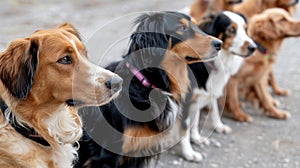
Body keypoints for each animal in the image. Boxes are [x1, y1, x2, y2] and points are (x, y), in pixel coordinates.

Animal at [177, 10, 256, 161]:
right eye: (231, 30)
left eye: (245, 28)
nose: (253, 48)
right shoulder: (186, 101)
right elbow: (185, 127)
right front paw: (189, 153)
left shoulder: (202, 95)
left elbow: (201, 117)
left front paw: (198, 137)